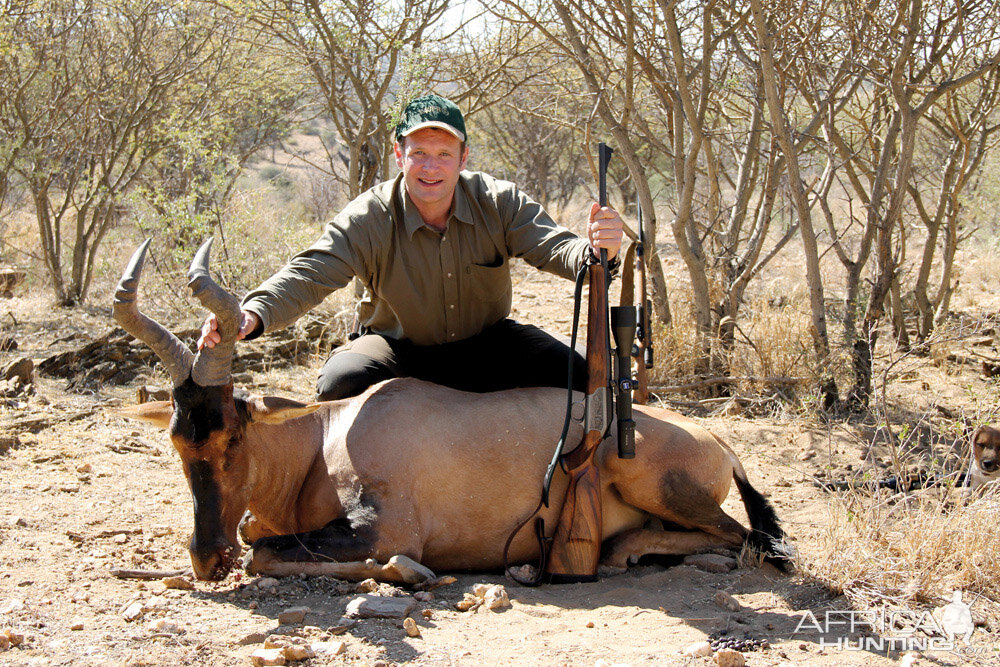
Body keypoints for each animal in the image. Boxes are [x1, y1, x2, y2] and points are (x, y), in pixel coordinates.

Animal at [115, 241, 788, 584]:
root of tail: (720, 444)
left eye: (234, 435)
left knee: (745, 538)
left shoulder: (385, 526)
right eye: (177, 440)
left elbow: (267, 551)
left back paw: (622, 553)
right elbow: (258, 535)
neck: (332, 433)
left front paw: (407, 573)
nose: (206, 557)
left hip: (656, 483)